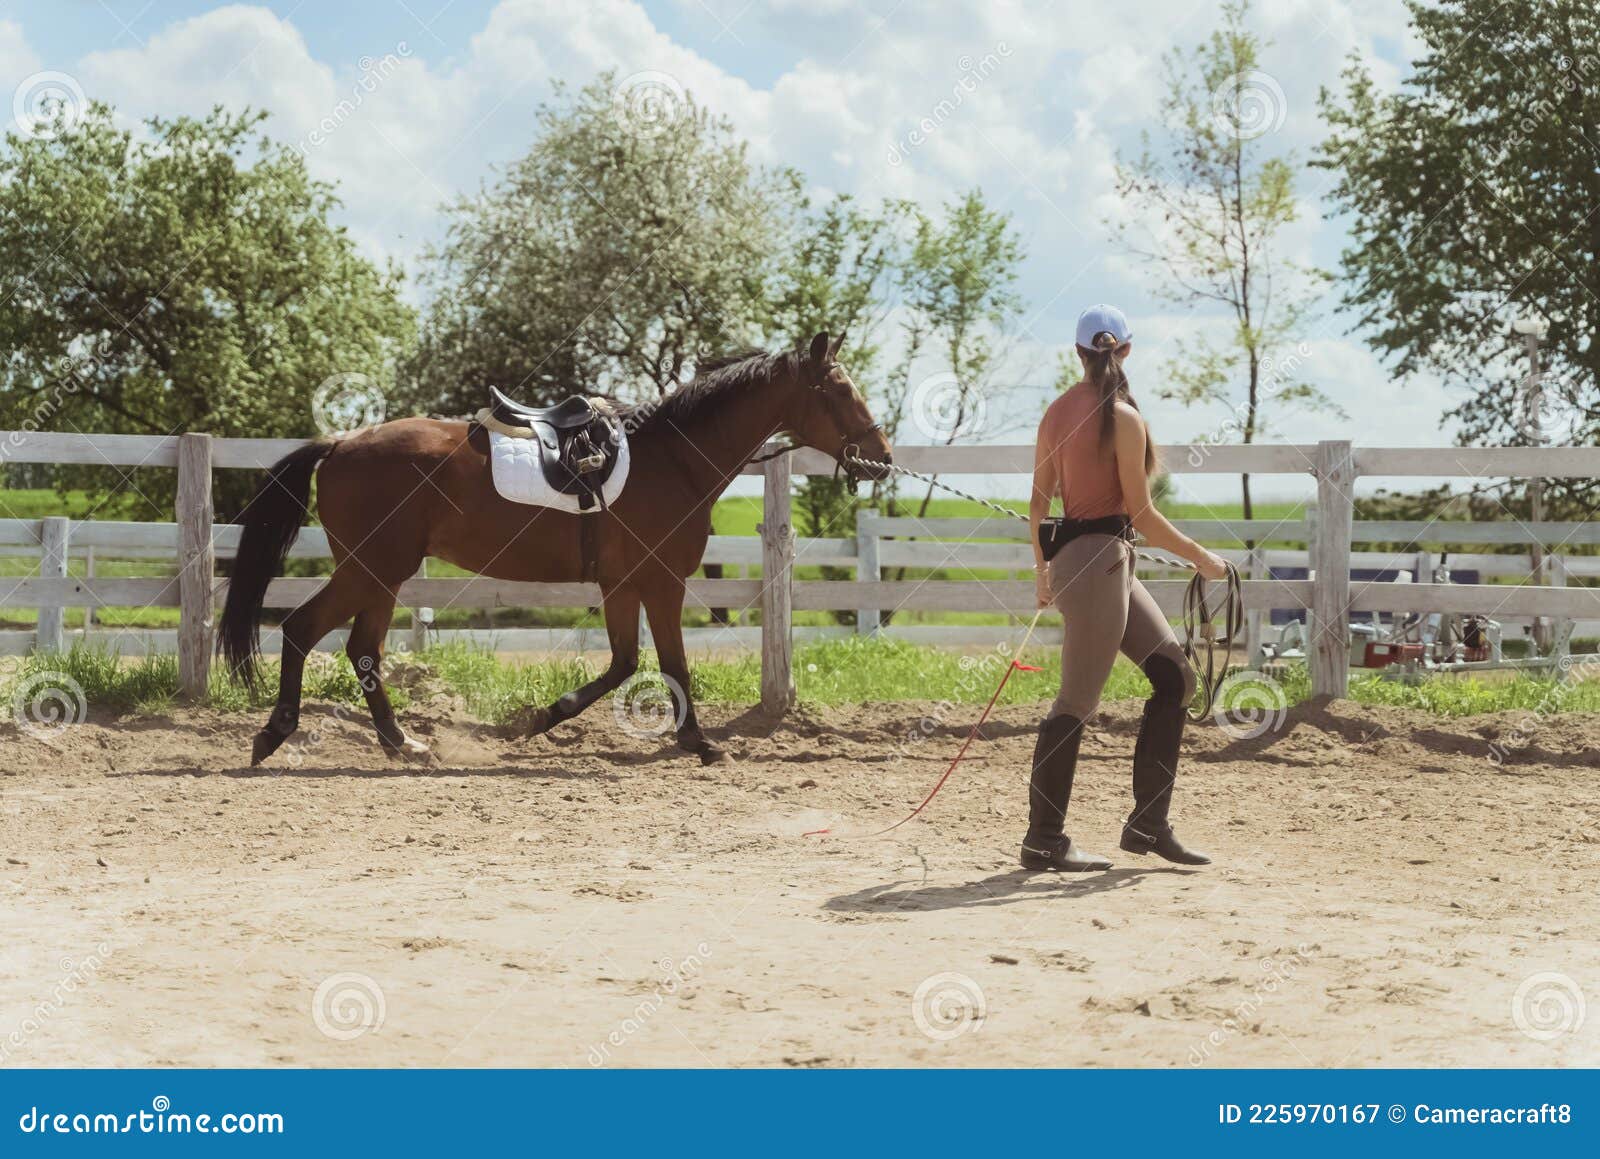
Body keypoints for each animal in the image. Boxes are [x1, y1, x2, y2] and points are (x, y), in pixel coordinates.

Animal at [219, 332, 896, 768]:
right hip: (372, 569)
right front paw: (699, 742)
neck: (673, 458)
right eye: (839, 391)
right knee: (304, 629)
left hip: (382, 576)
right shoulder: (662, 582)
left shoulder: (622, 586)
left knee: (362, 649)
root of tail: (340, 442)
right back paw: (276, 733)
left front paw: (538, 719)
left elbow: (624, 663)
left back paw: (401, 743)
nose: (882, 456)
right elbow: (672, 665)